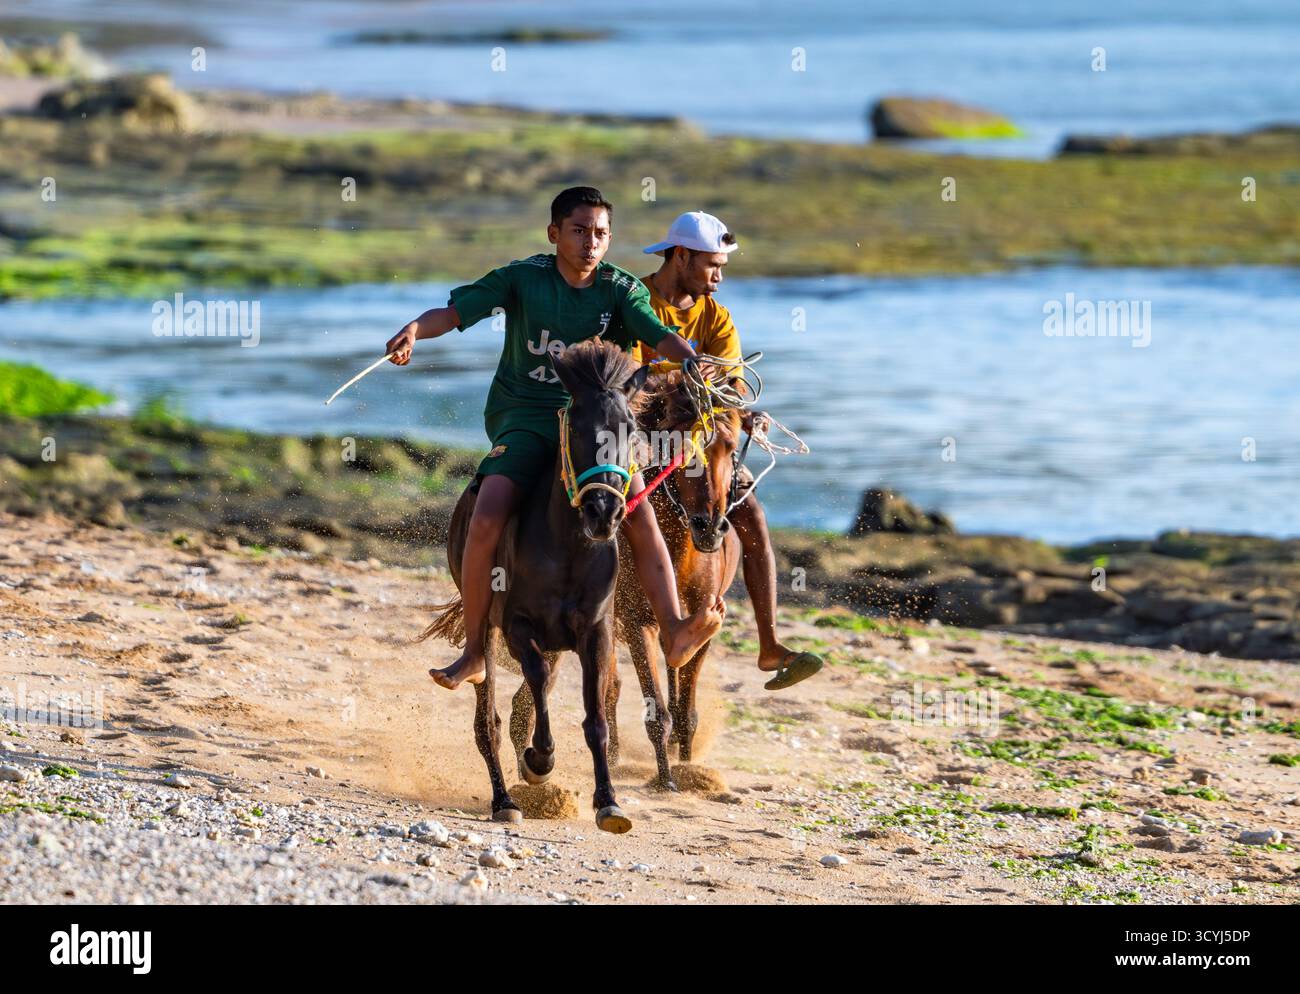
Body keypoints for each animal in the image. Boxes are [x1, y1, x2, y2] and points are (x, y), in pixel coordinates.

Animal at [419, 339, 650, 833]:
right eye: (576, 425)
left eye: (631, 428)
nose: (603, 512)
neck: (568, 546)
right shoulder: (516, 626)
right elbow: (539, 681)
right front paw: (539, 761)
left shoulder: (596, 632)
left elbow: (595, 717)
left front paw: (609, 802)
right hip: (485, 634)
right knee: (487, 720)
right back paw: (504, 799)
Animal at [609, 371, 742, 789]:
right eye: (682, 448)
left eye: (731, 448)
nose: (710, 527)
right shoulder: (637, 622)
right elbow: (657, 712)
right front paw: (666, 778)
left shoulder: (706, 621)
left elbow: (686, 711)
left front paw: (683, 765)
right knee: (610, 687)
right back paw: (612, 754)